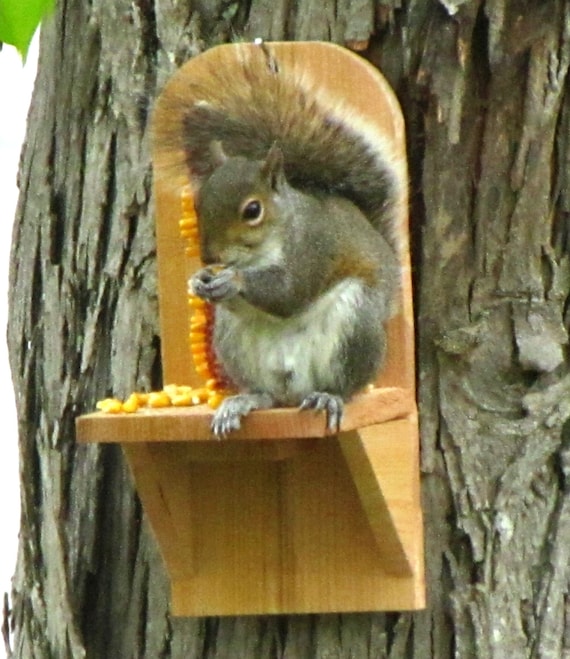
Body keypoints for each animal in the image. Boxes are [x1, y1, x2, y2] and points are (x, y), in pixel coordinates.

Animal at [154, 43, 406, 438]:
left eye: (252, 210)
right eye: (198, 203)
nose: (209, 257)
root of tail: (295, 388)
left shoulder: (312, 248)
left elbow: (288, 292)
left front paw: (233, 280)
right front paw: (198, 281)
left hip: (356, 323)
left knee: (344, 385)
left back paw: (328, 397)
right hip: (233, 341)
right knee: (268, 395)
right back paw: (243, 401)